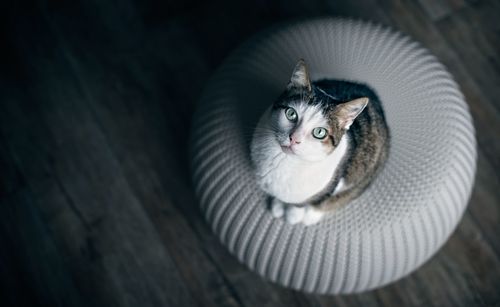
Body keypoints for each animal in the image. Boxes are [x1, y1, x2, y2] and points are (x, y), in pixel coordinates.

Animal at [250, 59, 390, 225]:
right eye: (291, 114)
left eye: (319, 132)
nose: (294, 138)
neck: (284, 160)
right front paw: (279, 204)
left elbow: (304, 202)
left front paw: (293, 213)